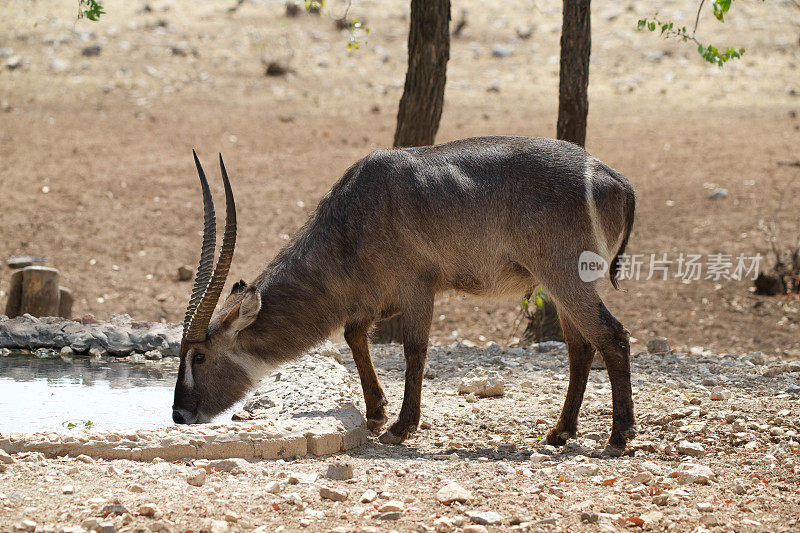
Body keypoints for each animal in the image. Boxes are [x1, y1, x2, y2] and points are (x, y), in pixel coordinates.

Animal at [173, 136, 636, 448]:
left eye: (200, 356)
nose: (178, 413)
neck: (352, 214)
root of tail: (614, 179)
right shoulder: (376, 299)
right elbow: (354, 335)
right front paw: (376, 414)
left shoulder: (417, 288)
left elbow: (414, 349)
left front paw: (399, 427)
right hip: (558, 288)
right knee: (581, 347)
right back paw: (560, 432)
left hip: (566, 279)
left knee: (611, 336)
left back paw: (619, 436)